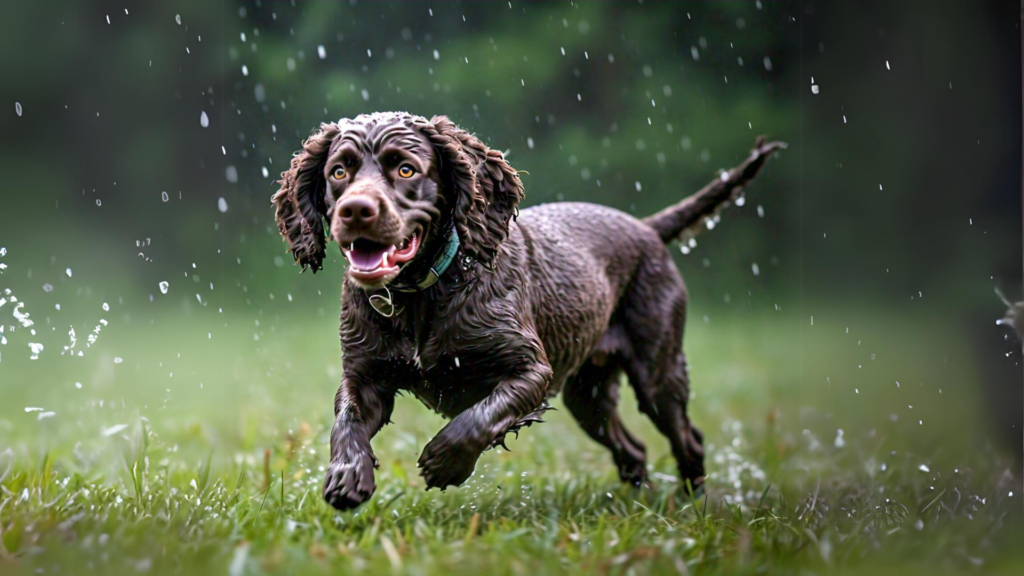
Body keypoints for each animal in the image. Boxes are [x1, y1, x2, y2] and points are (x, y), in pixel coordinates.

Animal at [272, 111, 782, 506]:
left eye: (406, 170)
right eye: (339, 173)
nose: (355, 211)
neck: (421, 297)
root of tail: (647, 227)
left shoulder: (530, 370)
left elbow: (478, 418)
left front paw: (445, 463)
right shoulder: (365, 376)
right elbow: (346, 423)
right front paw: (346, 476)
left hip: (657, 373)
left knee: (687, 437)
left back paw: (694, 504)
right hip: (588, 394)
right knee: (633, 448)